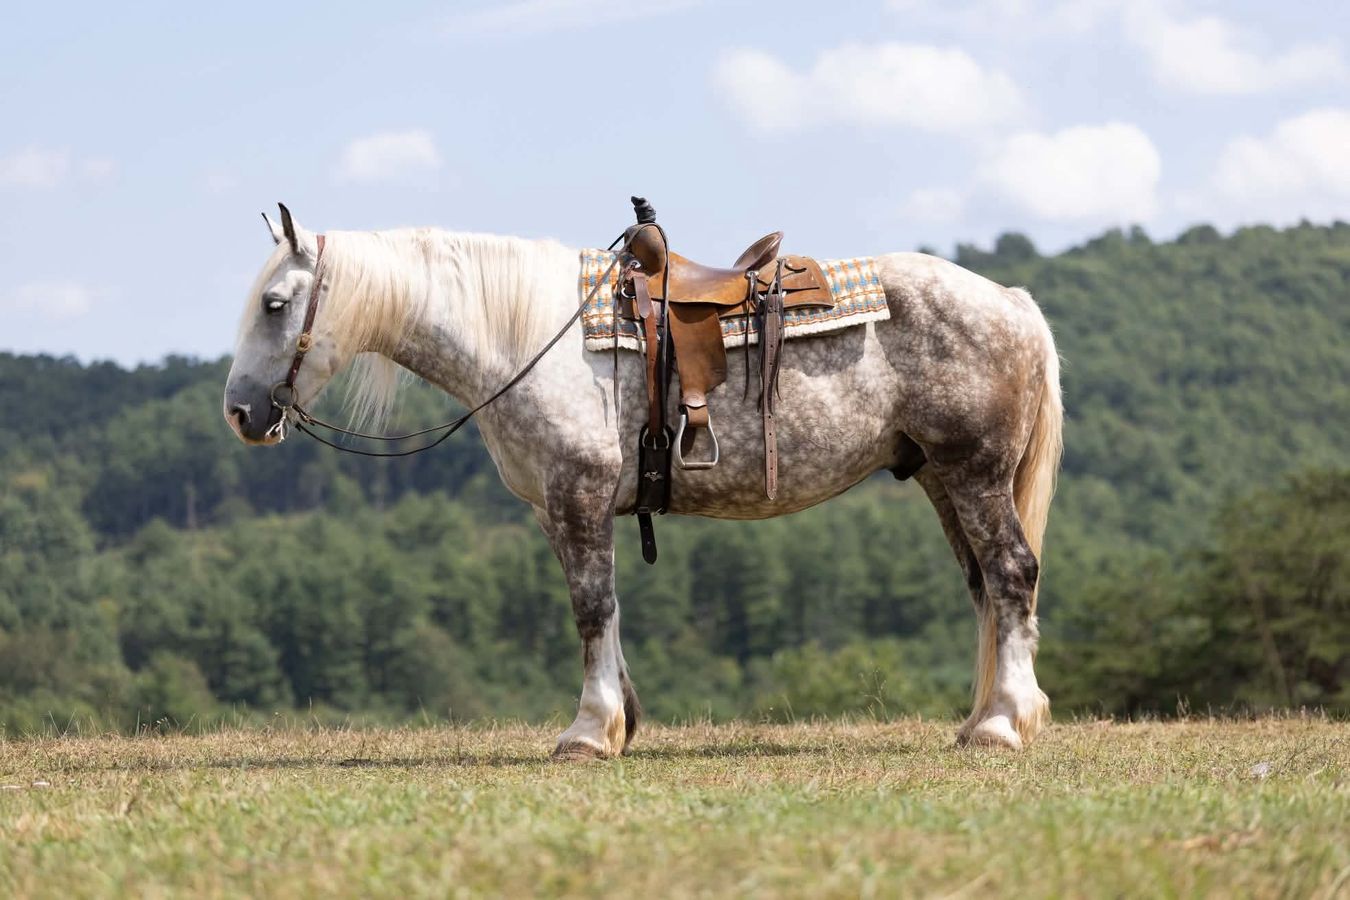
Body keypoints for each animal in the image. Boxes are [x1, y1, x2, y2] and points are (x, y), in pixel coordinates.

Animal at [224, 206, 1062, 758]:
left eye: (274, 304)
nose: (240, 411)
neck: (526, 334)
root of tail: (1013, 302)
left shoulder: (579, 494)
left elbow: (592, 608)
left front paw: (590, 731)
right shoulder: (558, 509)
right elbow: (605, 609)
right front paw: (621, 717)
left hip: (975, 472)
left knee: (1012, 573)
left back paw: (1004, 722)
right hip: (942, 477)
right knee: (984, 585)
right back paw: (981, 718)